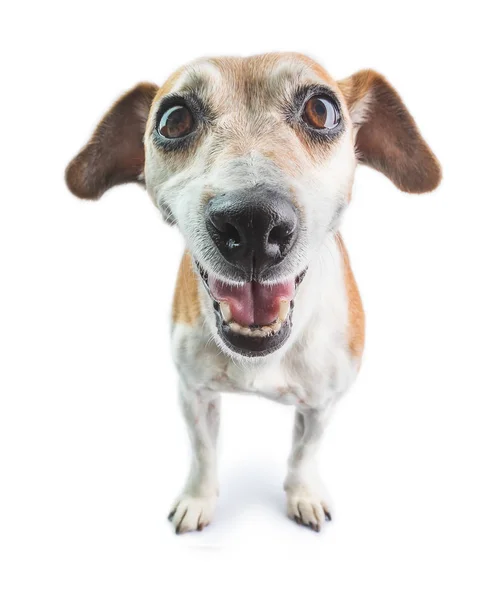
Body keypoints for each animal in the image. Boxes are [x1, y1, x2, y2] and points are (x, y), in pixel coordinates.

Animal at [66, 54, 442, 536]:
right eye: (173, 119)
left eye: (322, 110)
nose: (253, 223)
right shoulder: (193, 392)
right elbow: (203, 452)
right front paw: (198, 500)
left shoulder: (322, 403)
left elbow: (304, 453)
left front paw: (303, 495)